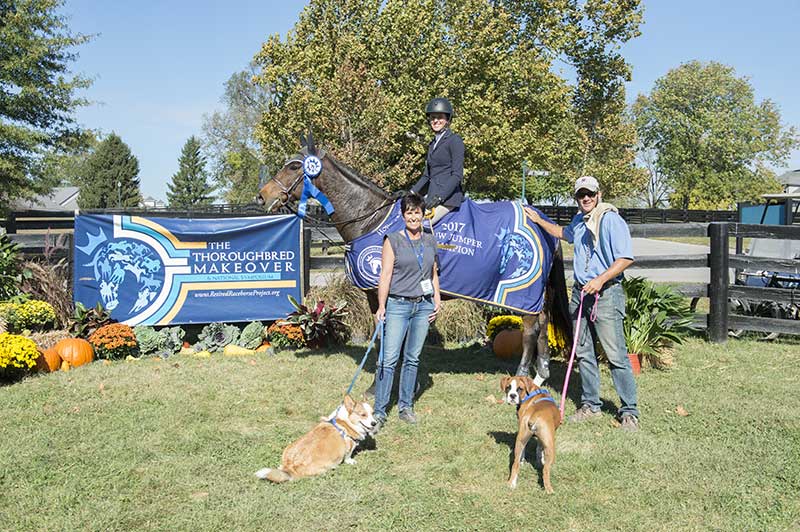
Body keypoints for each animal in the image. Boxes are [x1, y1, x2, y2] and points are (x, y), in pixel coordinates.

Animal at [260, 139, 572, 384]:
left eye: (294, 166)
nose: (263, 196)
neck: (372, 218)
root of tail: (541, 220)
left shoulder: (380, 291)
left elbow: (384, 329)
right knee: (543, 323)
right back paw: (540, 375)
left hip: (523, 294)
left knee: (531, 330)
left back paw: (521, 378)